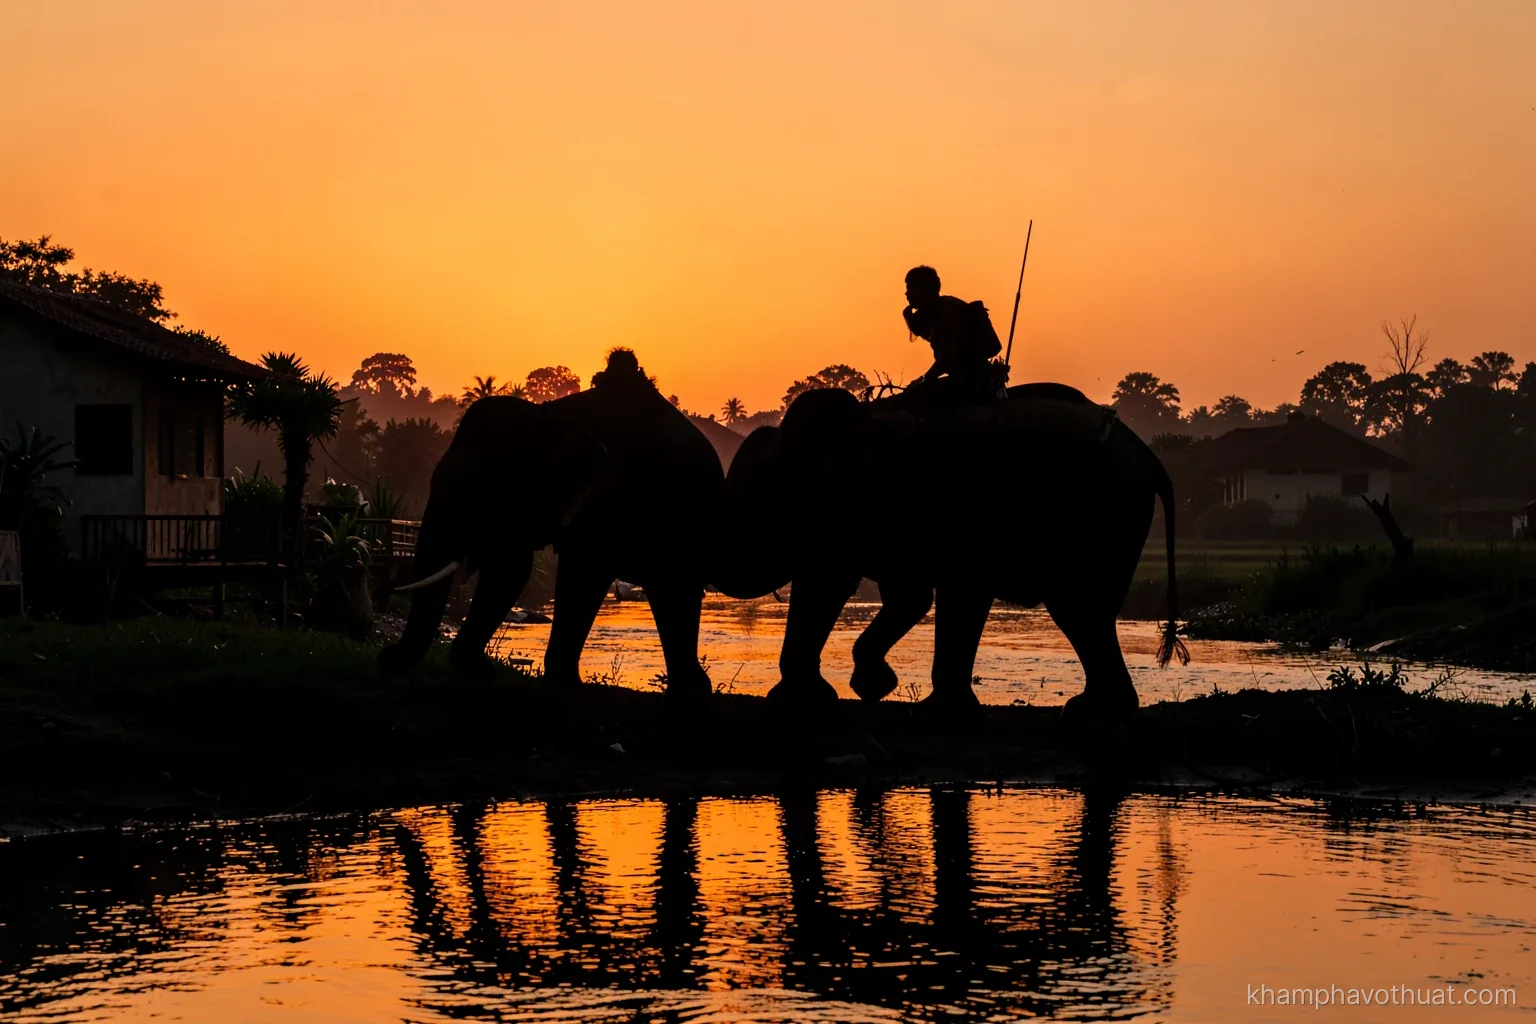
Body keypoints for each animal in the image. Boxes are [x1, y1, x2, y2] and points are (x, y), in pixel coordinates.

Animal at [379, 350, 724, 703]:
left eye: (479, 488)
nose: (385, 658)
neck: (548, 415)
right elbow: (511, 566)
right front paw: (480, 672)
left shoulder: (602, 497)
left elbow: (571, 571)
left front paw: (559, 684)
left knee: (674, 588)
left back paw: (692, 693)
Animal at [713, 382, 1185, 717]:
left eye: (751, 499)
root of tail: (1147, 454)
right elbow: (909, 596)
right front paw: (874, 687)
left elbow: (828, 585)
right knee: (1087, 614)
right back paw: (1094, 708)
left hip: (1102, 517)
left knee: (1078, 607)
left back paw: (1092, 708)